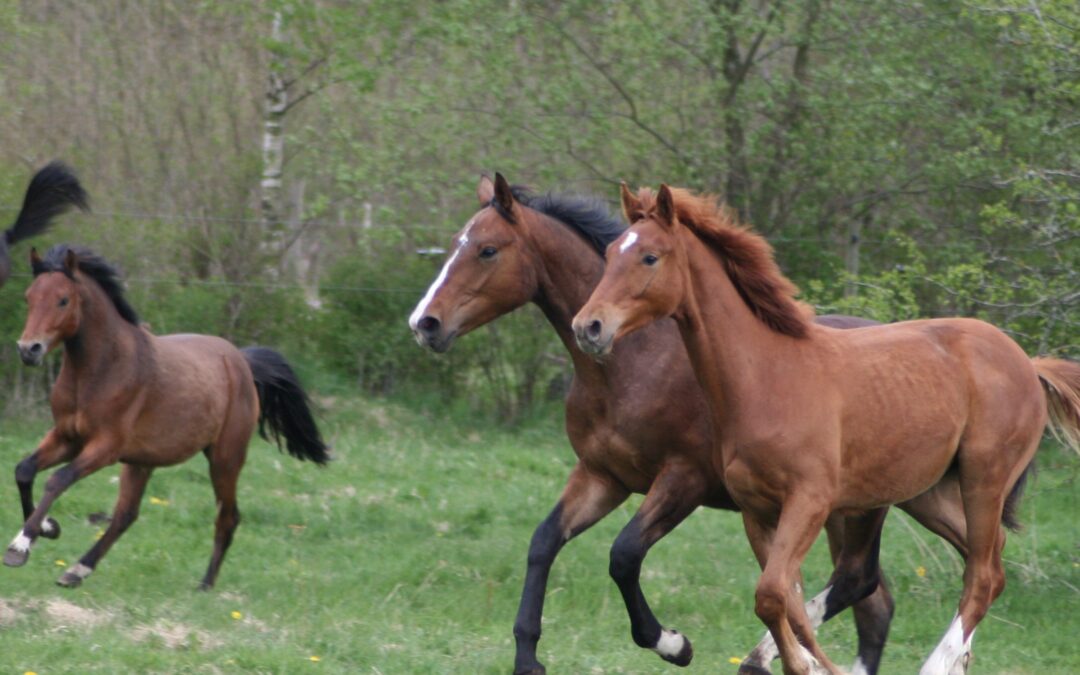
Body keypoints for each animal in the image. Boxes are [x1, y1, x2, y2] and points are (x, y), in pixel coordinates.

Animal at [4, 245, 328, 587]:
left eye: (63, 299)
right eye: (29, 297)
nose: (29, 349)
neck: (99, 370)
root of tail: (241, 361)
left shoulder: (104, 448)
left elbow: (57, 480)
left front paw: (21, 546)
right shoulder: (67, 438)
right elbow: (24, 470)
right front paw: (47, 527)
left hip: (225, 457)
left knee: (228, 516)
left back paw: (205, 585)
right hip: (142, 461)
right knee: (126, 515)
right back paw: (77, 570)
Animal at [408, 174, 976, 673]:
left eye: (487, 250)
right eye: (455, 245)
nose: (424, 324)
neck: (636, 364)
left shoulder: (684, 479)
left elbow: (623, 554)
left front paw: (672, 644)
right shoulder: (602, 476)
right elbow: (544, 542)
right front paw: (528, 657)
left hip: (869, 504)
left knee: (863, 580)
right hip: (900, 498)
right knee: (882, 597)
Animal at [574, 182, 1080, 673]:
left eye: (649, 257)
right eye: (611, 251)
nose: (588, 326)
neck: (767, 377)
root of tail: (1027, 362)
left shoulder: (809, 501)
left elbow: (773, 595)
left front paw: (808, 664)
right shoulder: (758, 512)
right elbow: (785, 601)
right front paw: (798, 663)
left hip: (983, 478)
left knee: (981, 575)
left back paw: (938, 664)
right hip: (929, 492)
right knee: (986, 560)